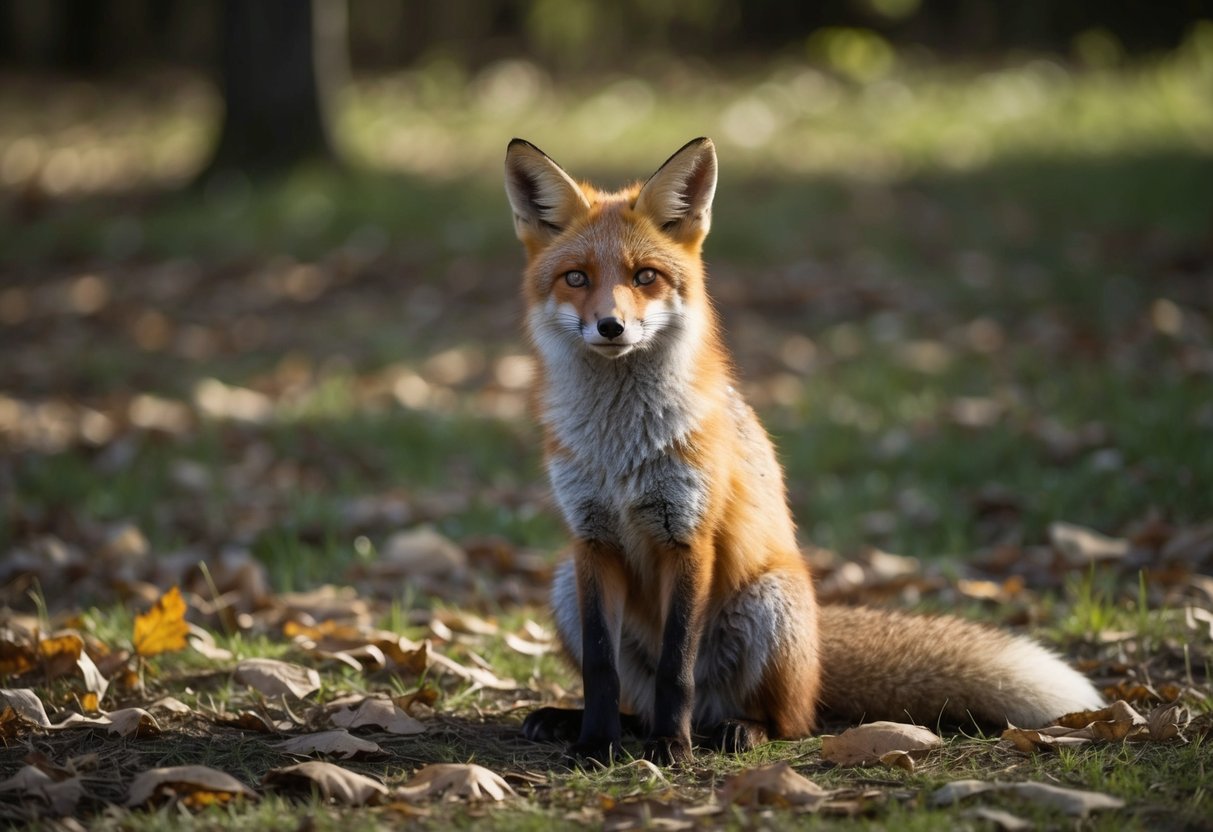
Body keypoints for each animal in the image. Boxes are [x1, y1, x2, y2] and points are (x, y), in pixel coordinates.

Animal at [504, 136, 1103, 764]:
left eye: (645, 276)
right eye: (576, 278)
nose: (611, 326)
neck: (620, 448)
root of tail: (816, 653)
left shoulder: (688, 536)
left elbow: (677, 669)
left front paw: (672, 746)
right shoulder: (591, 540)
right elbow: (601, 669)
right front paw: (596, 742)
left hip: (769, 603)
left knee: (789, 721)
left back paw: (727, 731)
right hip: (565, 583)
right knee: (636, 704)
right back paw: (584, 722)